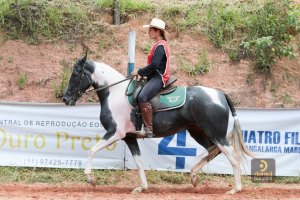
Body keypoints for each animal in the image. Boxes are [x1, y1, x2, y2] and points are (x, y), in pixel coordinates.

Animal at [62, 54, 254, 195]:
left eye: (75, 74)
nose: (65, 99)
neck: (115, 93)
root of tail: (221, 95)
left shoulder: (115, 133)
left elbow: (92, 150)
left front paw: (90, 178)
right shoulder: (130, 138)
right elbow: (139, 162)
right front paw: (142, 188)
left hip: (218, 135)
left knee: (232, 157)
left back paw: (236, 189)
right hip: (198, 132)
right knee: (212, 151)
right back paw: (193, 176)